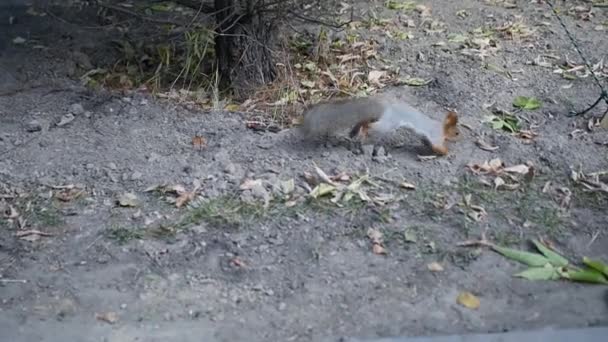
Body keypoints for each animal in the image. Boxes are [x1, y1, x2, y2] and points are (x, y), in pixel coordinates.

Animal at [300, 95, 460, 156]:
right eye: (457, 132)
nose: (461, 138)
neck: (441, 127)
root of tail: (383, 103)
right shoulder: (436, 135)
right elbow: (437, 145)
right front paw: (446, 152)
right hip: (388, 123)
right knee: (370, 127)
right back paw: (363, 134)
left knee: (365, 122)